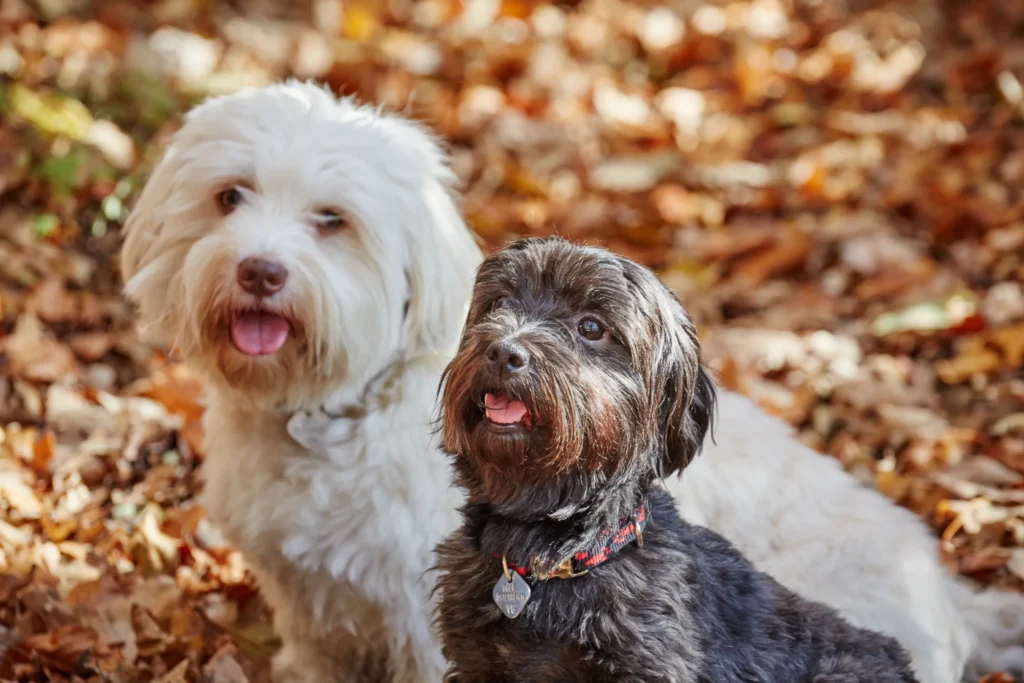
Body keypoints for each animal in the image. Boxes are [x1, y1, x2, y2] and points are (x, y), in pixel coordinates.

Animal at [121, 81, 1024, 683]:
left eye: (331, 220)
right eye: (229, 197)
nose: (260, 270)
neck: (335, 410)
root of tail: (949, 595)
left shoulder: (419, 616)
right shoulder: (312, 606)